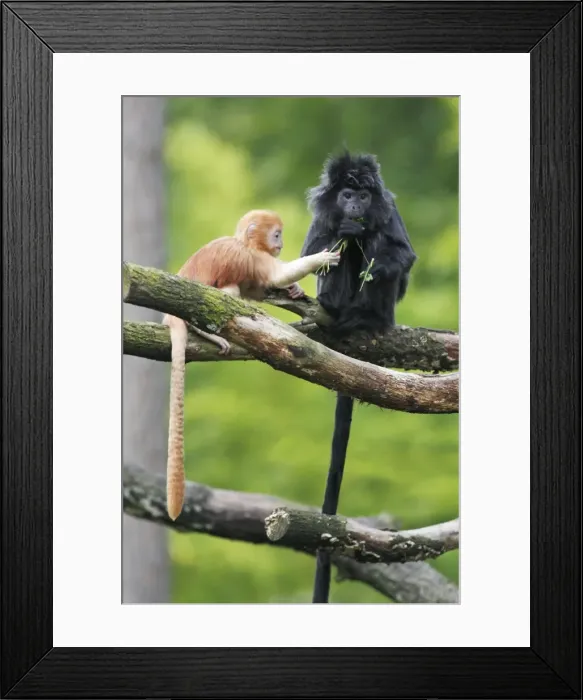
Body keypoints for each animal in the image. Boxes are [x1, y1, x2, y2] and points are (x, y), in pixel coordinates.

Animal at [163, 209, 341, 521]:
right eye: (277, 234)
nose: (280, 244)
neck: (244, 243)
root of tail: (173, 319)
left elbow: (259, 288)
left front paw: (294, 289)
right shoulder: (253, 257)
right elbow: (275, 275)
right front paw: (322, 259)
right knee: (229, 291)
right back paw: (205, 331)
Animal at [301, 152, 417, 603]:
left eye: (364, 196)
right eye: (346, 194)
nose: (354, 207)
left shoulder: (389, 213)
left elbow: (400, 253)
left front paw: (367, 238)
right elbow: (313, 251)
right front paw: (344, 231)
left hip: (385, 311)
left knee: (374, 249)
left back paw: (365, 315)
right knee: (339, 255)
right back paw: (334, 305)